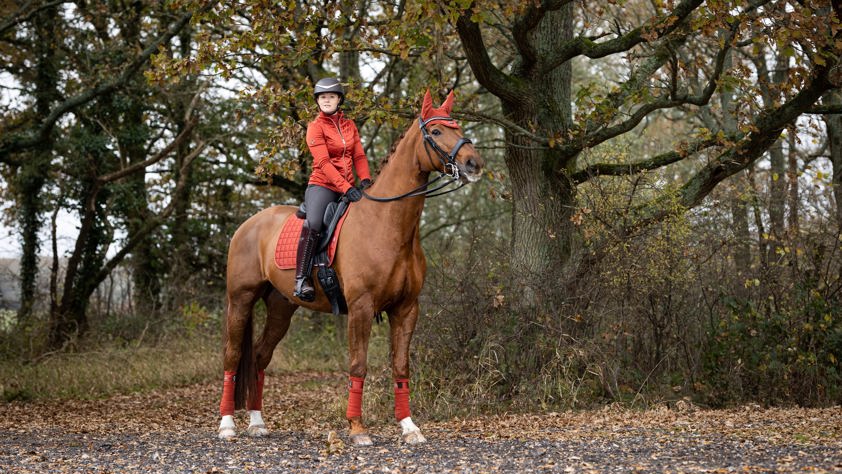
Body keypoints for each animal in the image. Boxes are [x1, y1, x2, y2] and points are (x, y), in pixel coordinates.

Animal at [217, 90, 482, 446]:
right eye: (437, 131)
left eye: (459, 126)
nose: (473, 164)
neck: (388, 224)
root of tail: (248, 225)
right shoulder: (361, 307)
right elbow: (358, 366)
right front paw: (357, 429)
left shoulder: (407, 309)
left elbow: (401, 367)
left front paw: (410, 427)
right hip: (241, 300)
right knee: (232, 356)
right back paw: (227, 425)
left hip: (281, 307)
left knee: (259, 355)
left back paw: (258, 423)